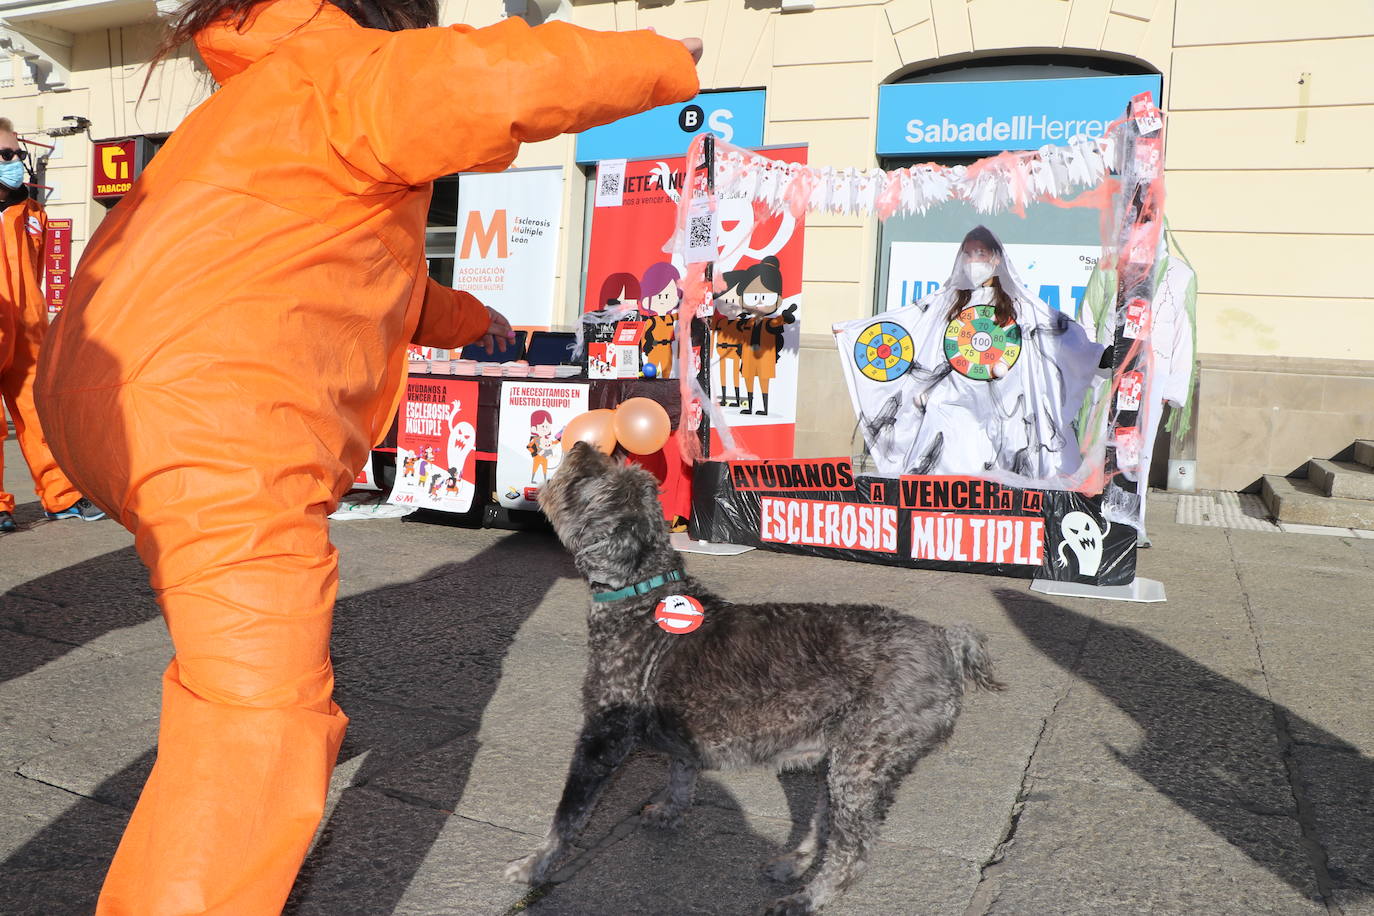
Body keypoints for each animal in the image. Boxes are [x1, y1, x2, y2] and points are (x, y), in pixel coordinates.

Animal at [511, 442, 1005, 911]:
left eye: (590, 480)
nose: (583, 446)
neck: (642, 600)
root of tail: (947, 641)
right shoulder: (680, 733)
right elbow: (681, 772)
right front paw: (669, 811)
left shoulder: (602, 739)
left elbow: (568, 816)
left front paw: (534, 865)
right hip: (842, 761)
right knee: (825, 824)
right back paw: (793, 864)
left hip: (864, 763)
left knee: (852, 852)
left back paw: (806, 899)